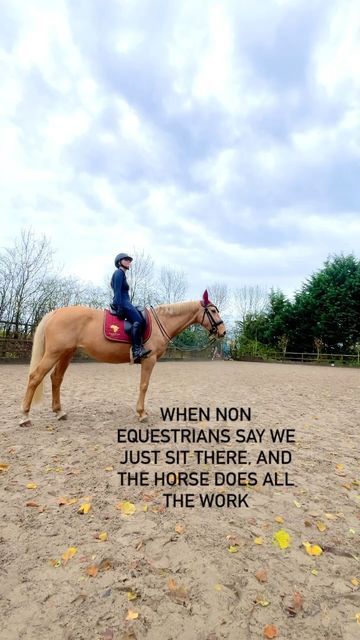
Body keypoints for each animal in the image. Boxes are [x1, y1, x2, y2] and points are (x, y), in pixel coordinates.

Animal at [19, 290, 225, 424]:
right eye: (213, 311)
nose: (223, 331)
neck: (161, 321)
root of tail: (56, 312)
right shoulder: (149, 360)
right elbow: (144, 385)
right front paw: (142, 414)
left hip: (66, 354)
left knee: (56, 379)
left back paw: (59, 412)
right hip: (54, 353)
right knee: (35, 377)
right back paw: (25, 416)